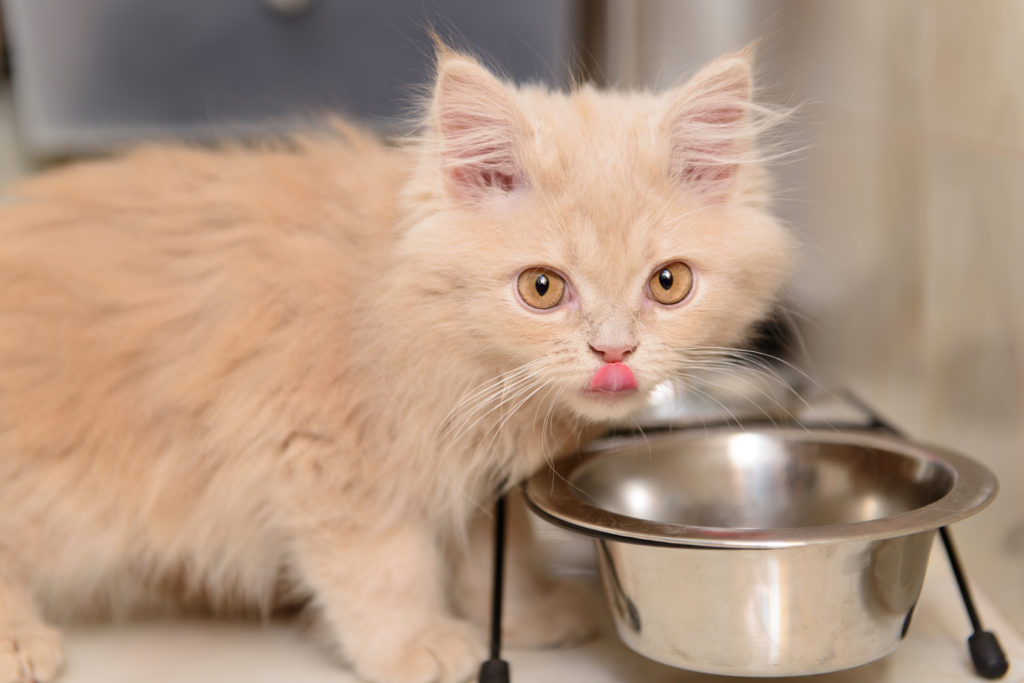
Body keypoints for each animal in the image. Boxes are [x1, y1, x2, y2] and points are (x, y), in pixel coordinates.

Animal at [0, 48, 790, 683]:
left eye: (669, 283)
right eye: (542, 288)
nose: (614, 350)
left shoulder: (480, 484)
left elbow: (497, 562)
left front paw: (525, 616)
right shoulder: (330, 459)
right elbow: (384, 570)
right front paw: (417, 645)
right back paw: (21, 642)